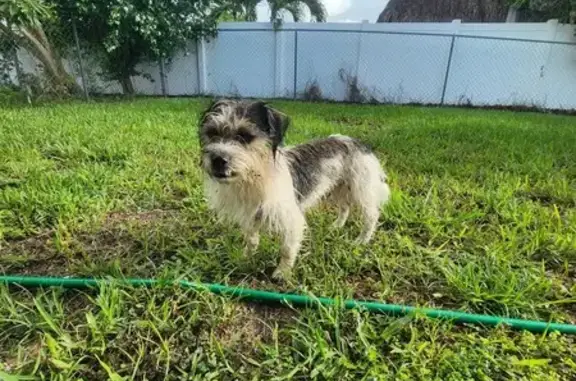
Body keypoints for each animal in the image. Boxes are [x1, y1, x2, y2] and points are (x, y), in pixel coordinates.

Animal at [199, 99, 392, 280]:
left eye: (245, 136)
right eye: (212, 133)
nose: (218, 160)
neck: (255, 177)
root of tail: (358, 142)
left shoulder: (292, 220)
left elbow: (287, 249)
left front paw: (282, 273)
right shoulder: (250, 215)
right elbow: (251, 240)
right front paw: (246, 257)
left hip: (361, 190)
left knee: (371, 216)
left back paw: (362, 240)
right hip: (337, 188)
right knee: (345, 207)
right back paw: (336, 226)